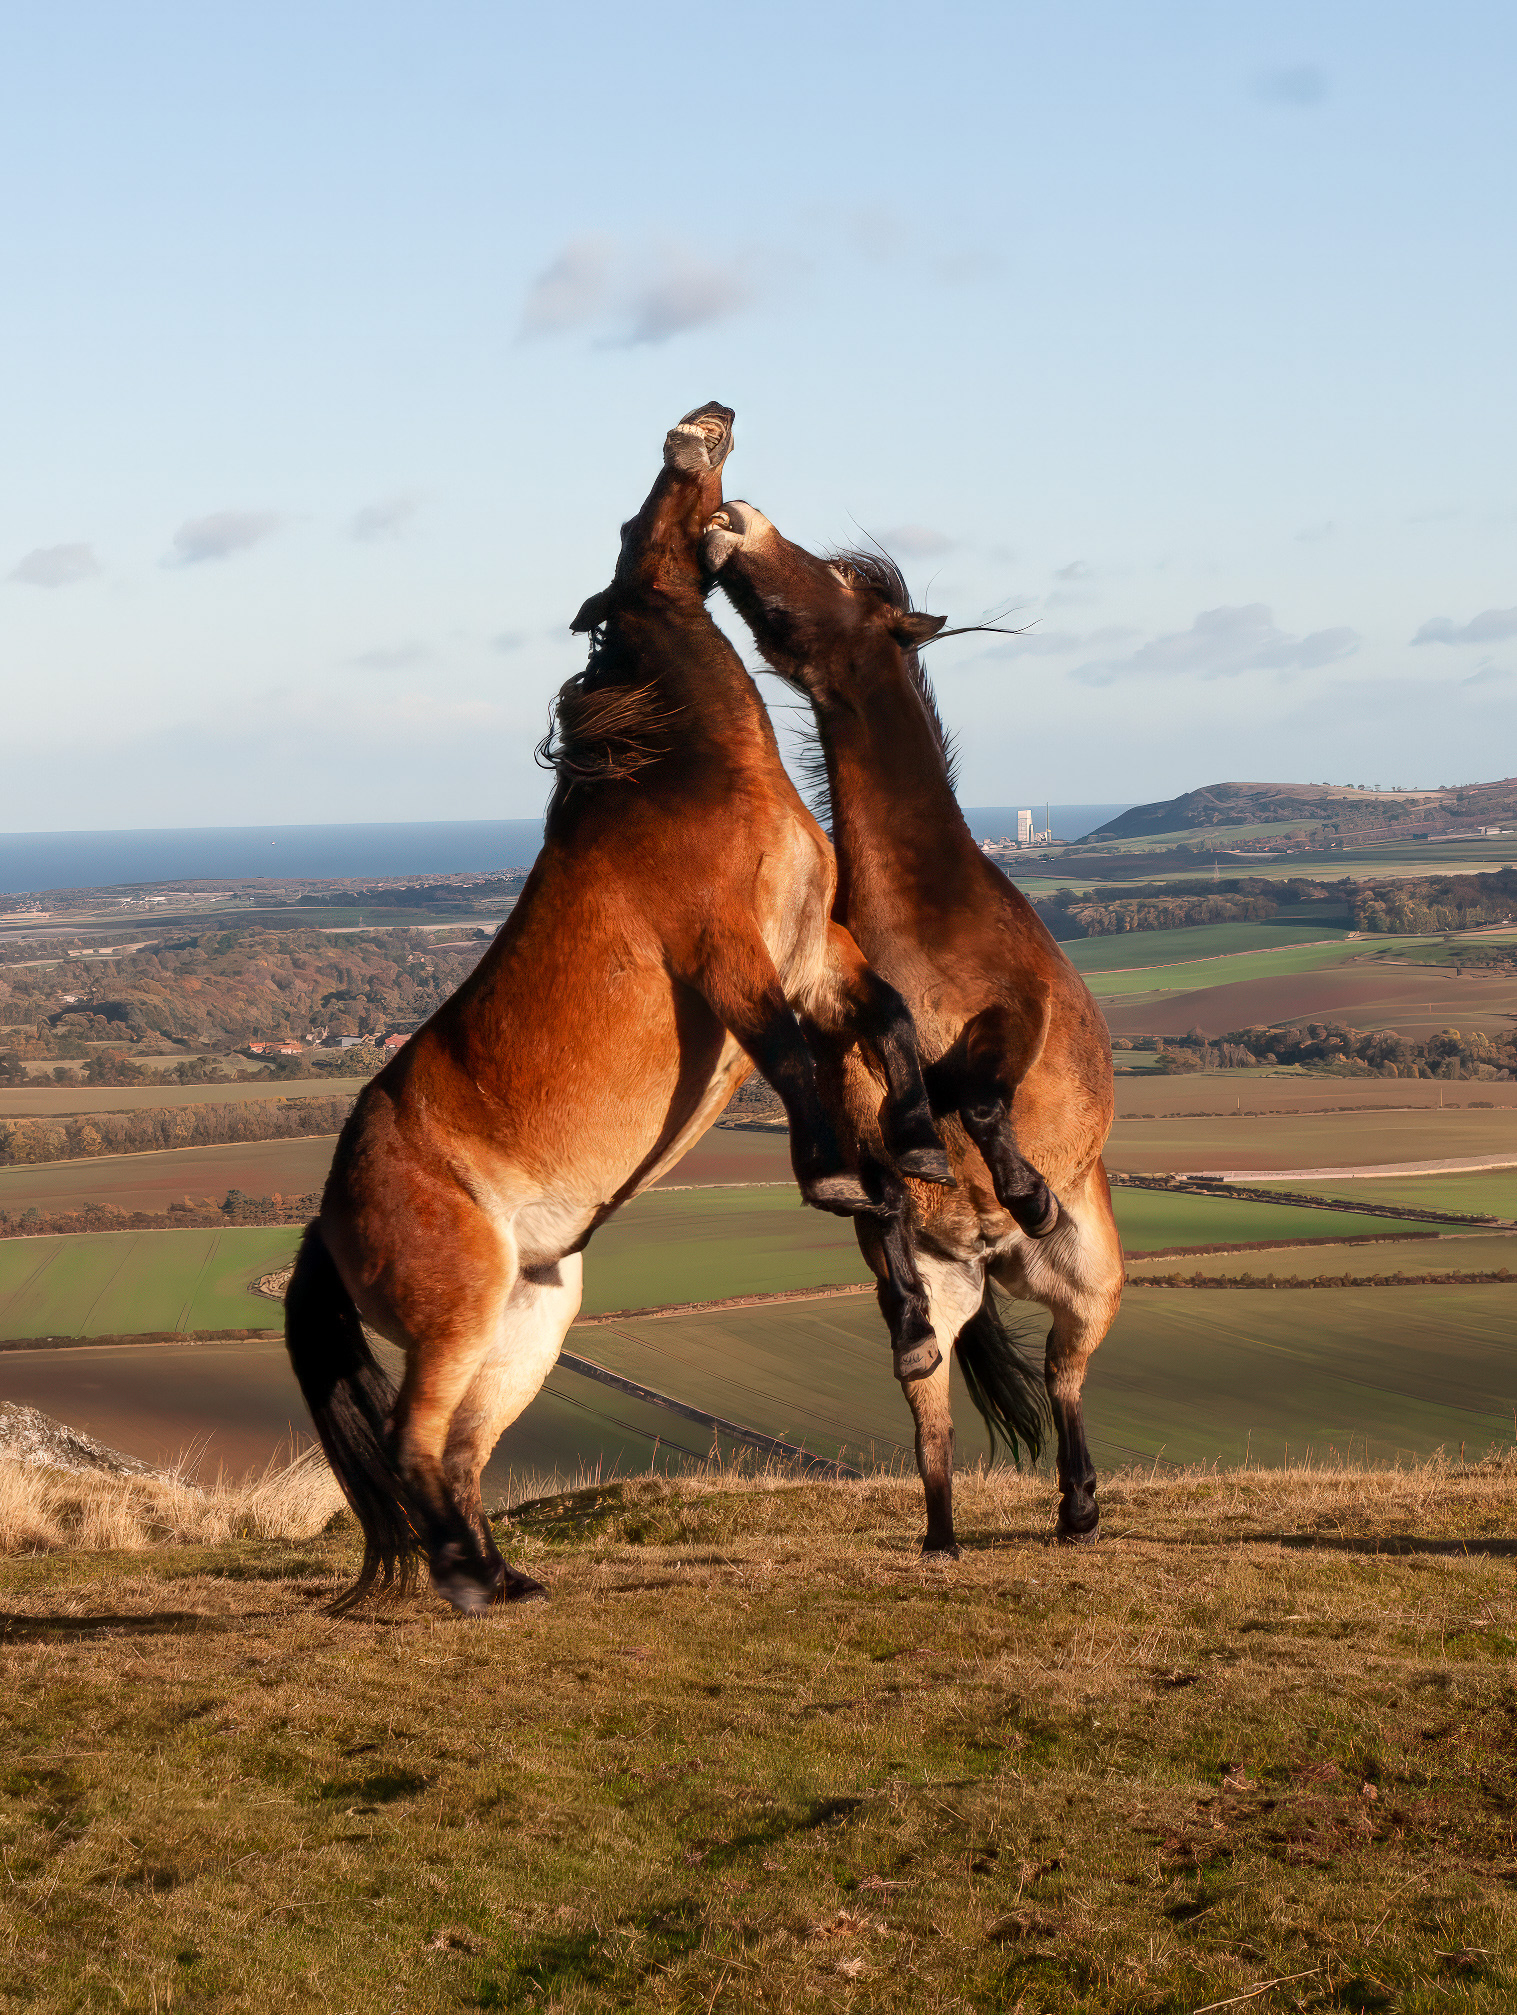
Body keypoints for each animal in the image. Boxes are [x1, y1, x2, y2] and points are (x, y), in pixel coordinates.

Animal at [285, 403, 951, 1614]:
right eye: (637, 513)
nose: (706, 419)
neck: (678, 777)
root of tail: (326, 1219)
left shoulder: (812, 954)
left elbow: (884, 1033)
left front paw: (916, 1190)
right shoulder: (727, 958)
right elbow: (799, 1074)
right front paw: (835, 1175)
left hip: (530, 1320)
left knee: (461, 1451)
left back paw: (505, 1577)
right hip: (461, 1314)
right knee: (411, 1443)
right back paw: (463, 1579)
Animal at [702, 501, 1124, 1550]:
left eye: (837, 579)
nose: (734, 519)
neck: (921, 914)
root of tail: (993, 1267)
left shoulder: (1018, 1014)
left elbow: (975, 1095)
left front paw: (1026, 1189)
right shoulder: (847, 1075)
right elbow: (883, 1176)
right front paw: (911, 1196)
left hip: (1090, 1287)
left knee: (1063, 1378)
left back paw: (1078, 1506)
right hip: (956, 1298)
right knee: (933, 1410)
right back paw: (940, 1528)